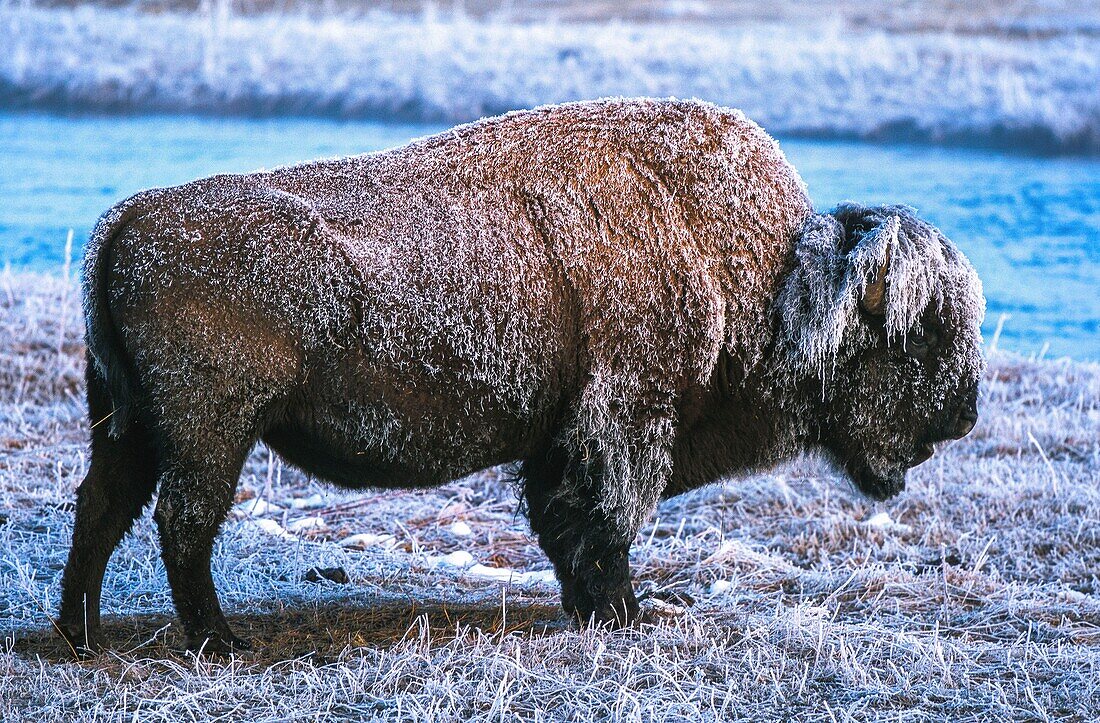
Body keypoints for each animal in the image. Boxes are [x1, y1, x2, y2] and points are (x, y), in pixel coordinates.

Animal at [55, 98, 985, 655]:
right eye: (915, 336)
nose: (965, 415)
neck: (767, 278)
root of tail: (127, 219)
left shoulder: (561, 438)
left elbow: (562, 523)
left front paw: (594, 607)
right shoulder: (626, 424)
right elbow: (601, 522)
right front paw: (624, 611)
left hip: (129, 426)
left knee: (103, 507)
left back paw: (80, 630)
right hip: (214, 431)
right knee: (182, 521)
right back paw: (217, 639)